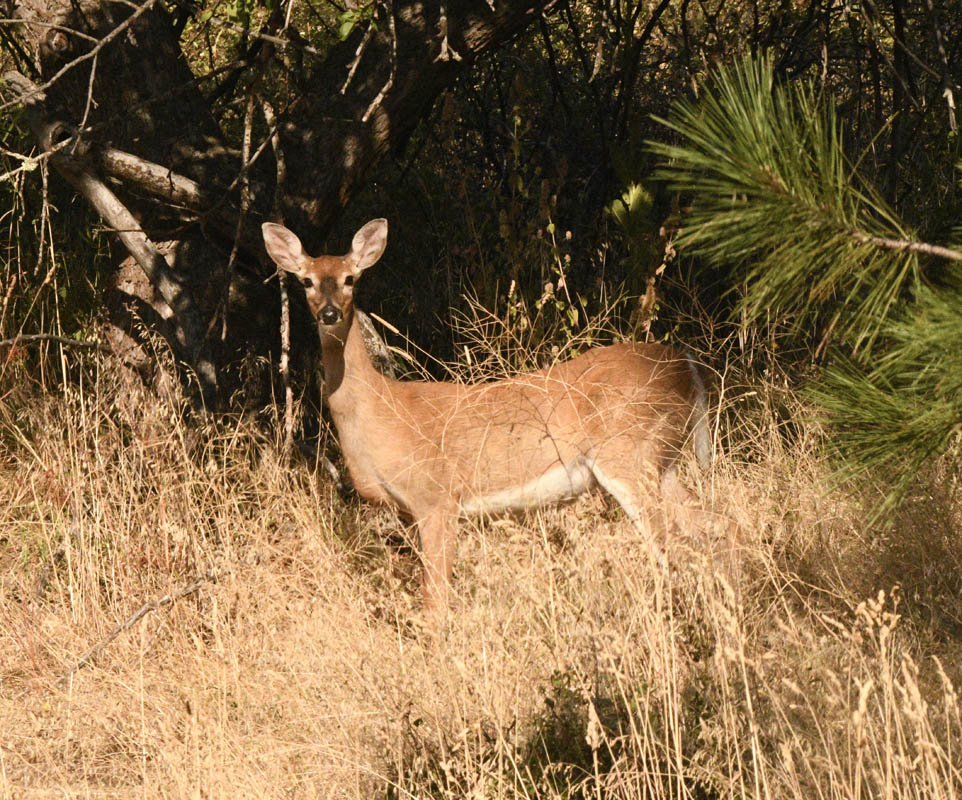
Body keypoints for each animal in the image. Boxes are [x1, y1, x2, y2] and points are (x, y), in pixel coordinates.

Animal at [262, 218, 712, 613]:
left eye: (350, 278)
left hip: (630, 454)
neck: (381, 411)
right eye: (306, 281)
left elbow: (436, 600)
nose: (330, 314)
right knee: (714, 528)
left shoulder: (437, 497)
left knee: (673, 545)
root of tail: (687, 366)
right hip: (663, 460)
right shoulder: (409, 511)